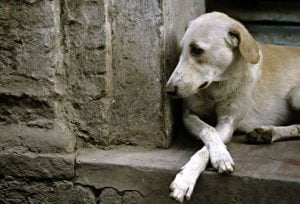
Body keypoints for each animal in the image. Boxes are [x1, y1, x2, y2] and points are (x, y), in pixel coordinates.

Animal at [165, 11, 300, 203]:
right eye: (180, 51)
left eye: (197, 50)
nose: (168, 90)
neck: (216, 88)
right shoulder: (188, 115)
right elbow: (208, 130)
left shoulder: (228, 122)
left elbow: (205, 148)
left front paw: (187, 178)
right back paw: (266, 133)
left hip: (295, 96)